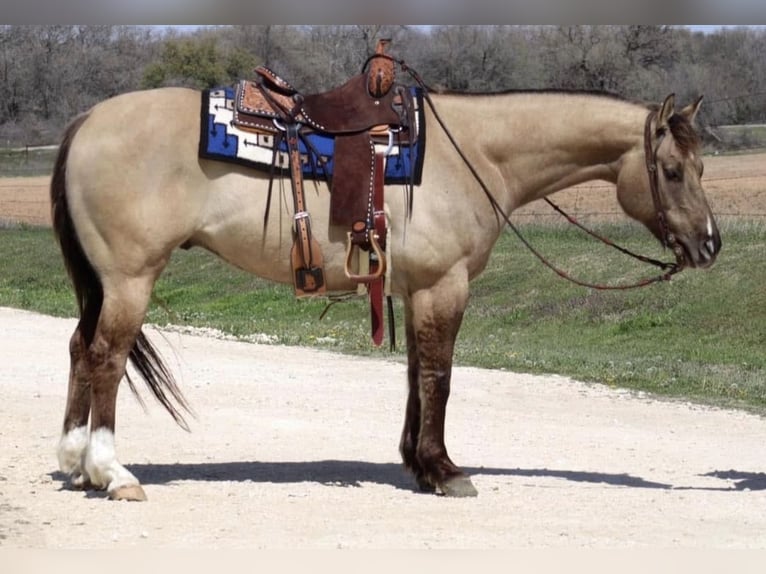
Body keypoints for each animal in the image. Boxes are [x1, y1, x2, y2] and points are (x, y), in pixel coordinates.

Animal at [50, 84, 721, 501]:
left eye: (701, 167)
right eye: (671, 171)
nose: (710, 245)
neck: (475, 154)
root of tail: (85, 121)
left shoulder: (415, 286)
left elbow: (416, 374)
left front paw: (418, 464)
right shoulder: (444, 284)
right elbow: (440, 377)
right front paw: (445, 470)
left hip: (105, 284)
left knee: (81, 350)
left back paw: (76, 461)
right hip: (130, 278)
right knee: (107, 357)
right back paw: (112, 471)